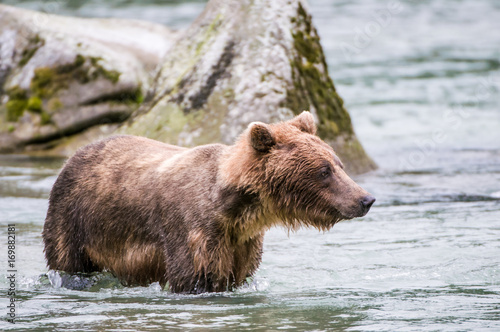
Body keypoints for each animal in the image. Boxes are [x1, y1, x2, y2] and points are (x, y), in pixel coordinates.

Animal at [43, 111, 376, 294]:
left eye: (339, 164)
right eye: (324, 171)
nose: (366, 199)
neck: (236, 210)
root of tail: (76, 153)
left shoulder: (242, 242)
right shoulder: (194, 232)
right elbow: (194, 277)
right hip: (74, 221)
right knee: (67, 263)